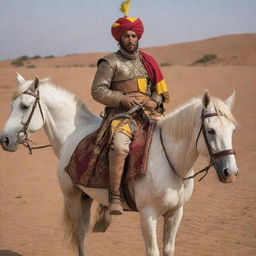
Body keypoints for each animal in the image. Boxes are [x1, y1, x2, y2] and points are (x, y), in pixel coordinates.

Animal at [1, 74, 239, 256]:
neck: (170, 160)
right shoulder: (148, 214)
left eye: (232, 130)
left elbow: (169, 249)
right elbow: (152, 251)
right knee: (80, 234)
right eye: (211, 130)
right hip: (72, 196)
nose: (230, 172)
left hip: (85, 196)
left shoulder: (175, 213)